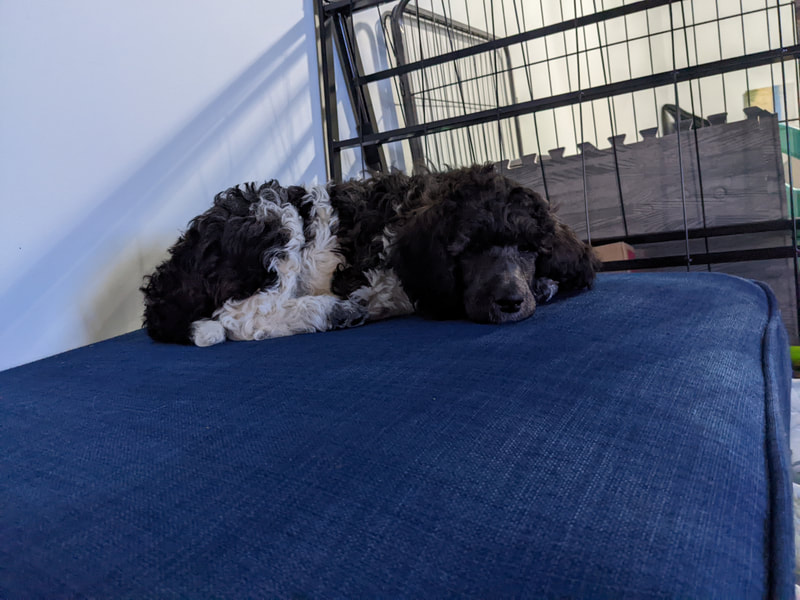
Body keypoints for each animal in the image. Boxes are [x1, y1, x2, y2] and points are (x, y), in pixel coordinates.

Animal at [141, 164, 599, 346]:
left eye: (528, 249)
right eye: (468, 250)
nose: (509, 301)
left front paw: (547, 281)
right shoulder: (379, 277)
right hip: (271, 219)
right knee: (238, 317)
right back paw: (330, 311)